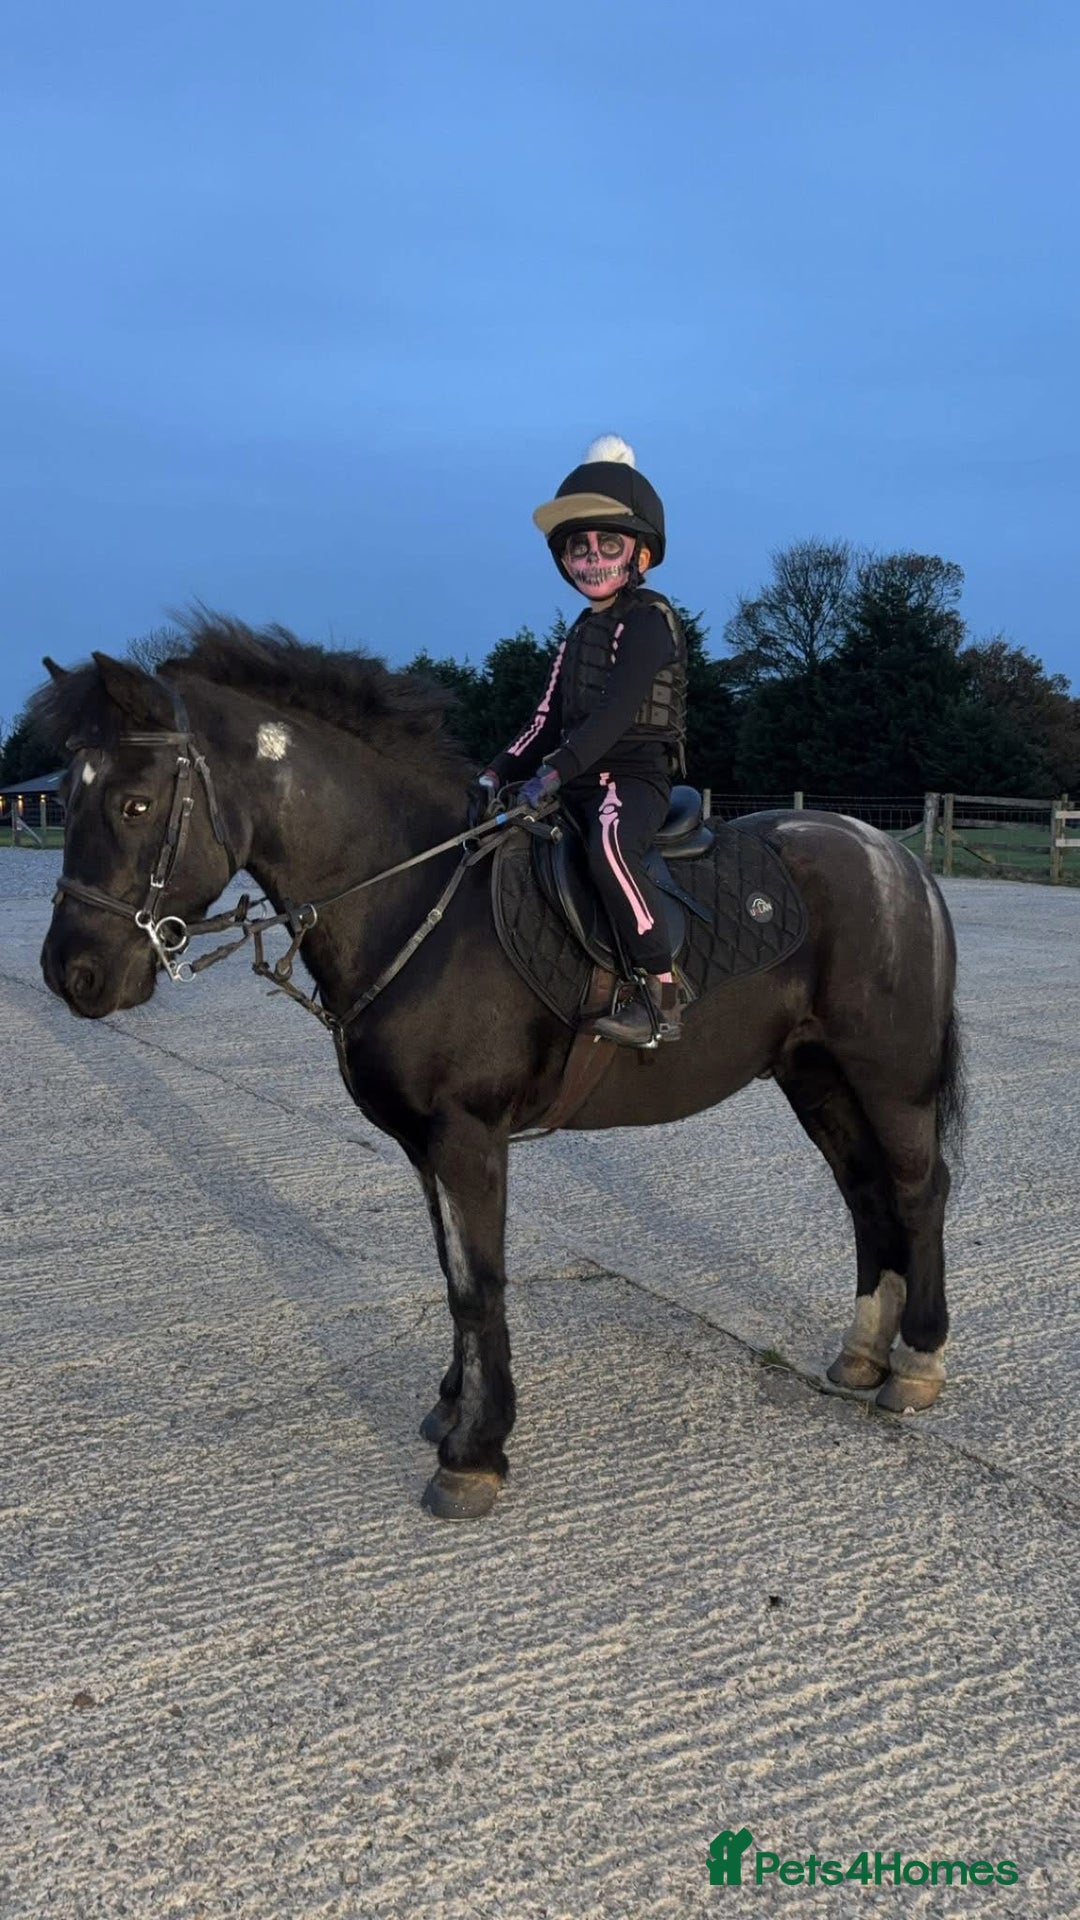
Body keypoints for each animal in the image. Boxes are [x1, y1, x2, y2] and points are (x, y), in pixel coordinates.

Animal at [33, 619, 963, 1520]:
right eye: (65, 796)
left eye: (134, 801)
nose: (71, 974)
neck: (418, 902)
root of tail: (896, 860)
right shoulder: (421, 1145)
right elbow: (452, 1278)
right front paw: (453, 1407)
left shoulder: (467, 1136)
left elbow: (480, 1286)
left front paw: (474, 1454)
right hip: (816, 1076)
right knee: (864, 1194)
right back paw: (861, 1357)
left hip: (889, 1077)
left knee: (918, 1193)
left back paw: (917, 1365)